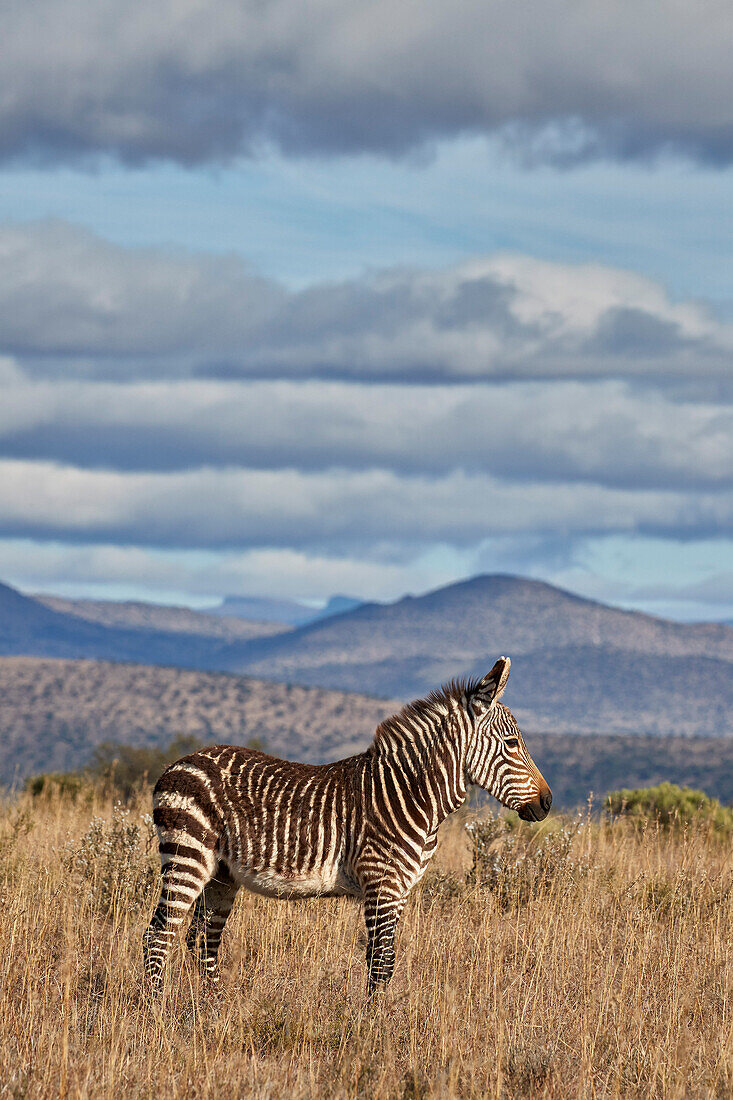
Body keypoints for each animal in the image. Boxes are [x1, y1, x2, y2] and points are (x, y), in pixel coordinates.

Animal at [144, 655, 548, 994]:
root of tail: (176, 764)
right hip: (188, 855)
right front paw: (374, 1029)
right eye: (512, 743)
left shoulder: (399, 890)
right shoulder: (382, 884)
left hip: (222, 873)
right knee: (158, 935)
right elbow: (382, 963)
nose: (547, 803)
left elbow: (382, 961)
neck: (409, 794)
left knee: (202, 939)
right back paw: (156, 1012)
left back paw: (212, 1011)